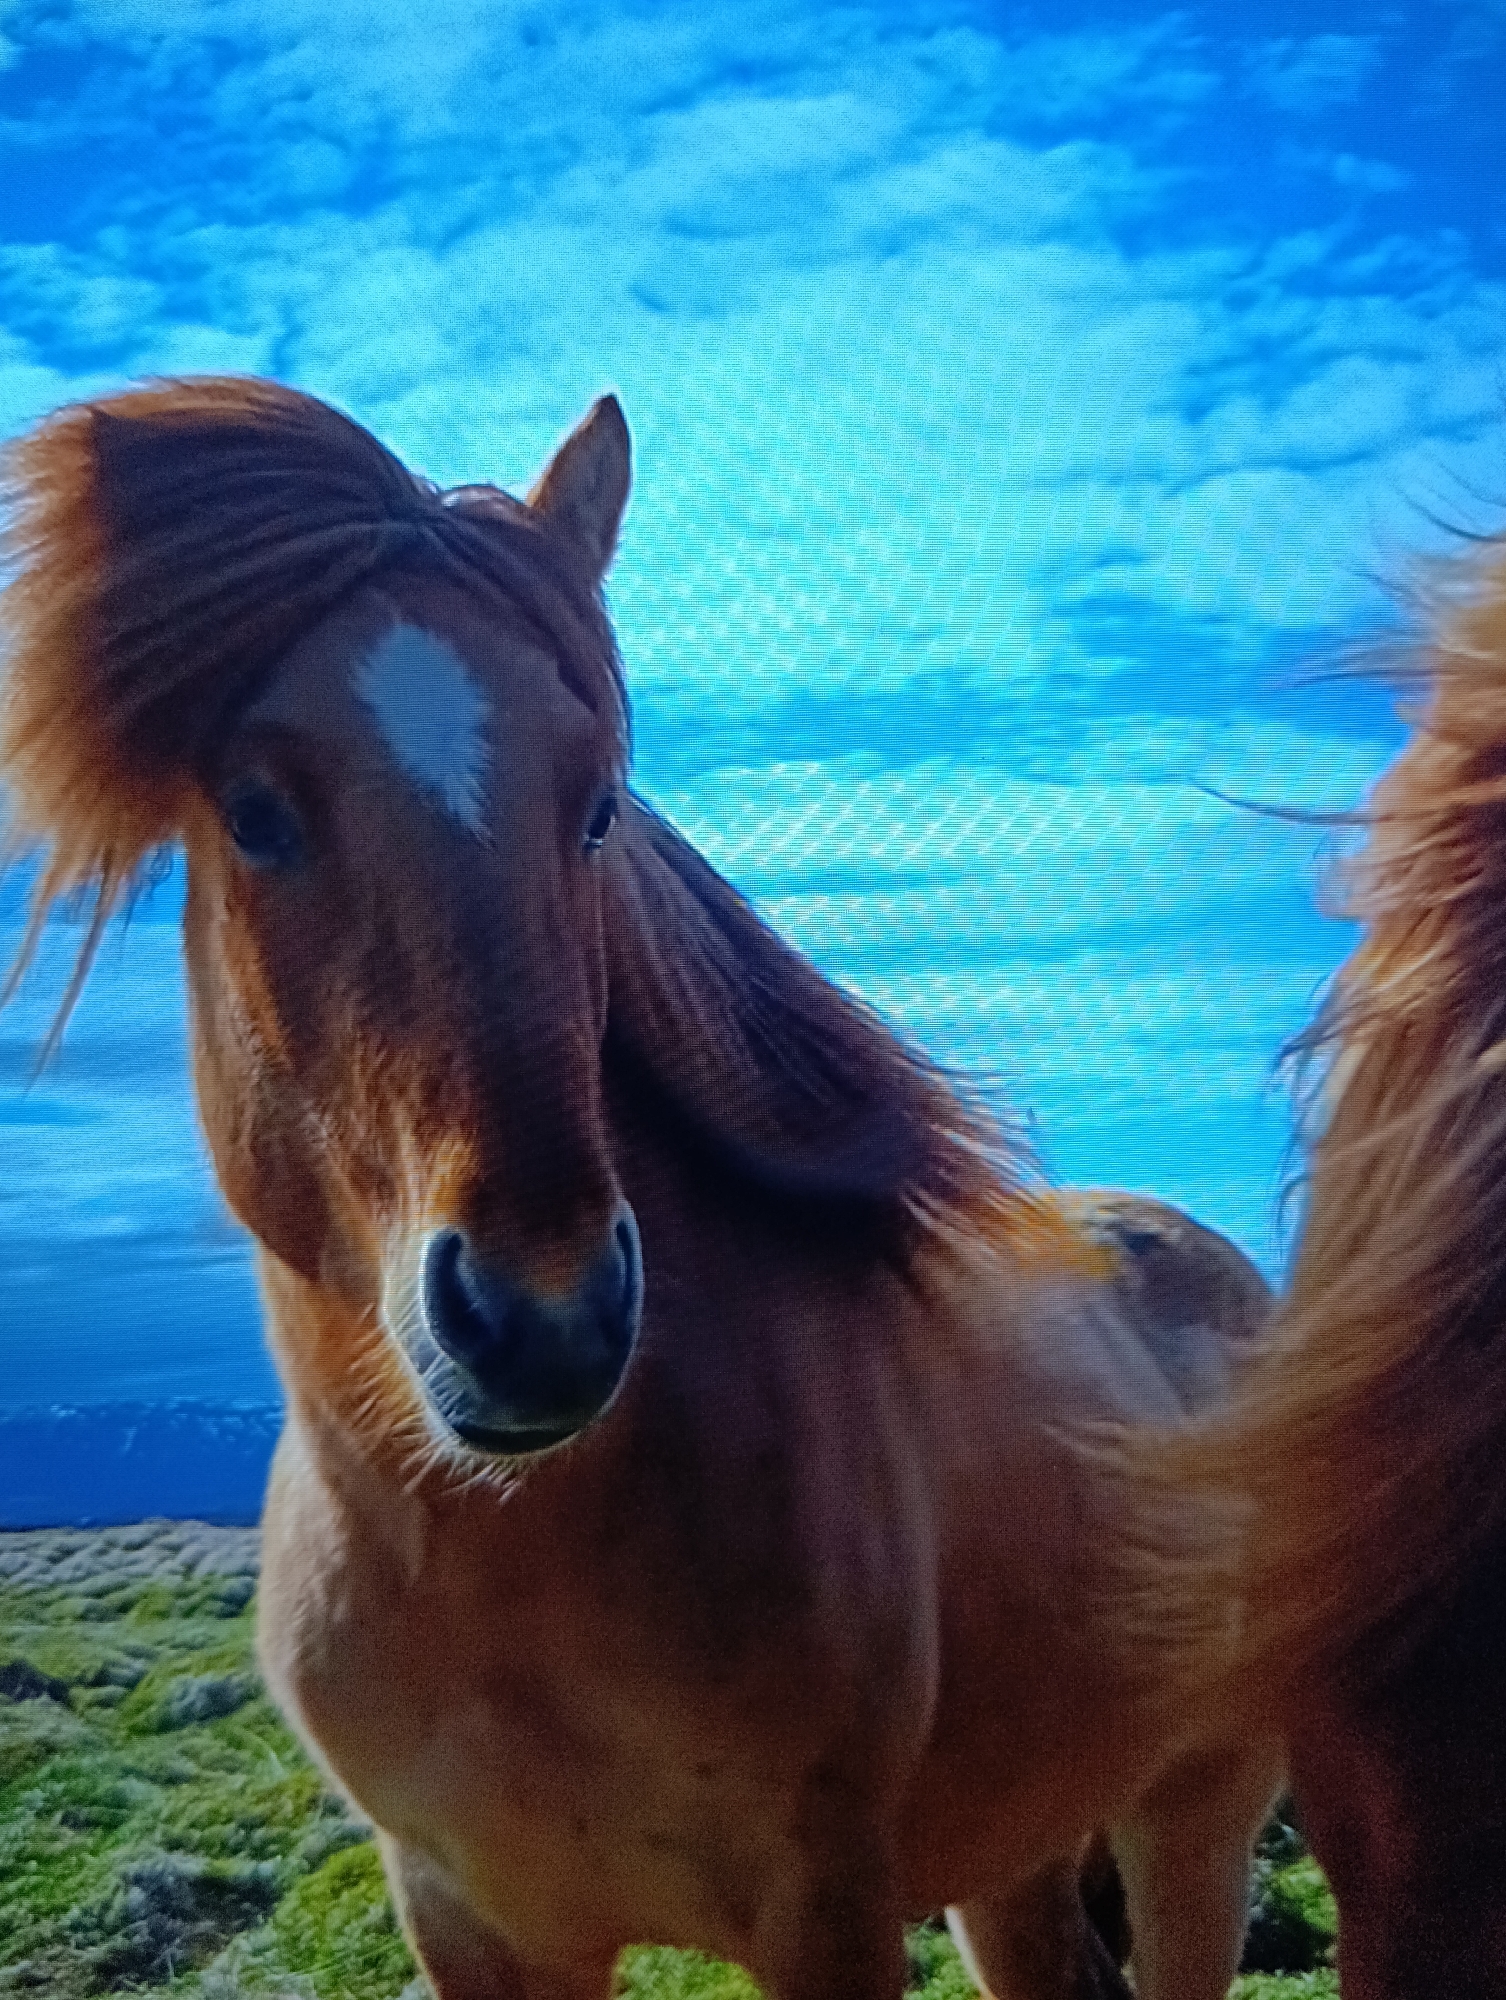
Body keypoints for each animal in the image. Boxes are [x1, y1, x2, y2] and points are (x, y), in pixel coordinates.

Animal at [0, 376, 1281, 2000]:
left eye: (597, 804)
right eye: (252, 811)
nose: (541, 1317)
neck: (512, 1558)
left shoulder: (830, 1908)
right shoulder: (464, 1916)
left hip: (1201, 1808)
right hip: (1020, 1848)